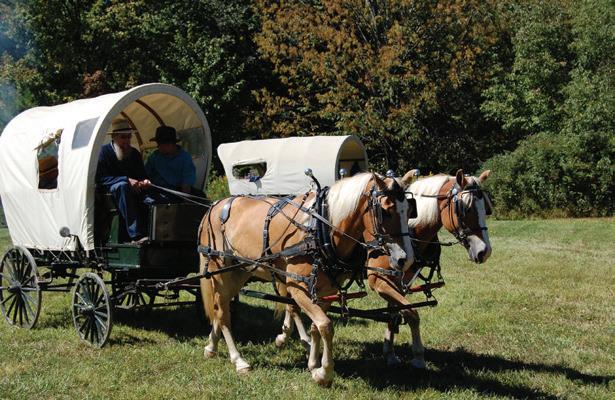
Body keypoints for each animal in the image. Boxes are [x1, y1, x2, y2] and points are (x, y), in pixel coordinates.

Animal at [197, 172, 415, 386]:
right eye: (386, 212)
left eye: (408, 210)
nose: (406, 259)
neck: (320, 230)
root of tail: (215, 205)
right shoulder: (297, 288)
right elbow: (325, 326)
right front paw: (324, 373)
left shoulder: (326, 291)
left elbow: (315, 327)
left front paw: (313, 364)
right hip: (220, 271)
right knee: (223, 314)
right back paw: (238, 360)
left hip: (240, 272)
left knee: (219, 308)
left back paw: (211, 347)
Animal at [275, 169, 493, 369]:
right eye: (466, 208)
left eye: (486, 208)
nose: (485, 251)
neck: (411, 233)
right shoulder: (379, 281)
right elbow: (411, 313)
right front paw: (417, 357)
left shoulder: (399, 282)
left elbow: (396, 314)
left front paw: (390, 353)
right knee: (293, 304)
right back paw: (293, 339)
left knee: (291, 303)